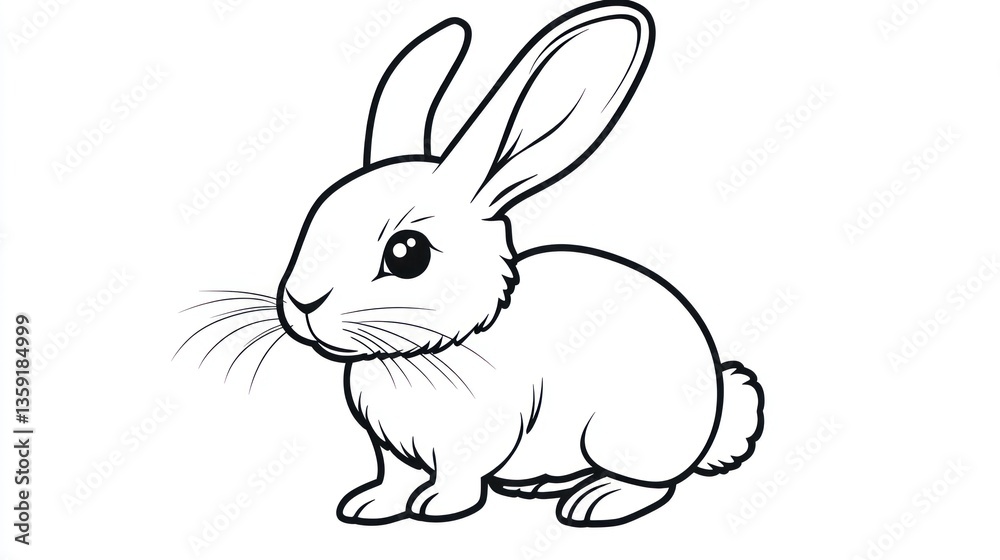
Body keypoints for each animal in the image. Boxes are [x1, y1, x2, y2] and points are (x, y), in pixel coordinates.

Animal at [275, 0, 764, 527]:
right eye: (316, 220)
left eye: (407, 253)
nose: (303, 303)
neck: (424, 354)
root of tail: (716, 410)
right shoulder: (389, 448)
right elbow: (394, 478)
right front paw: (368, 505)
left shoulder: (477, 441)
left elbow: (456, 479)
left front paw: (434, 507)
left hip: (621, 438)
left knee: (657, 483)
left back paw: (595, 501)